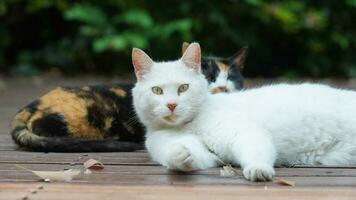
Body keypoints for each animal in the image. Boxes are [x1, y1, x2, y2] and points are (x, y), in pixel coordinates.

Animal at [132, 43, 356, 182]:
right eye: (157, 90)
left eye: (183, 88)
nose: (171, 105)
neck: (188, 126)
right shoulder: (207, 157)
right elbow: (185, 156)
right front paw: (180, 153)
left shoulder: (243, 133)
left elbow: (255, 149)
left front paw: (259, 169)